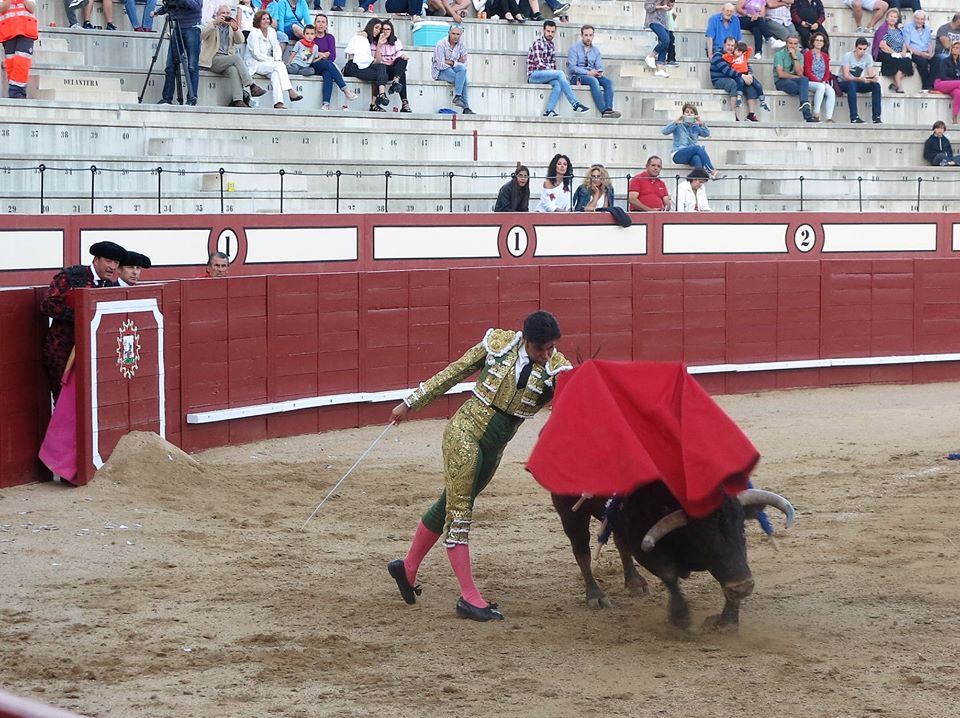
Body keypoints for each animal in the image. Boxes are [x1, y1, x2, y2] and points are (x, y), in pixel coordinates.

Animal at [552, 484, 800, 632]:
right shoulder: (644, 546)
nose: (743, 587)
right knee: (582, 552)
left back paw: (634, 583)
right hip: (570, 513)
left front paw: (727, 622)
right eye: (703, 540)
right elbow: (669, 574)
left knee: (620, 545)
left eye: (743, 531)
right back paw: (596, 595)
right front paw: (680, 619)